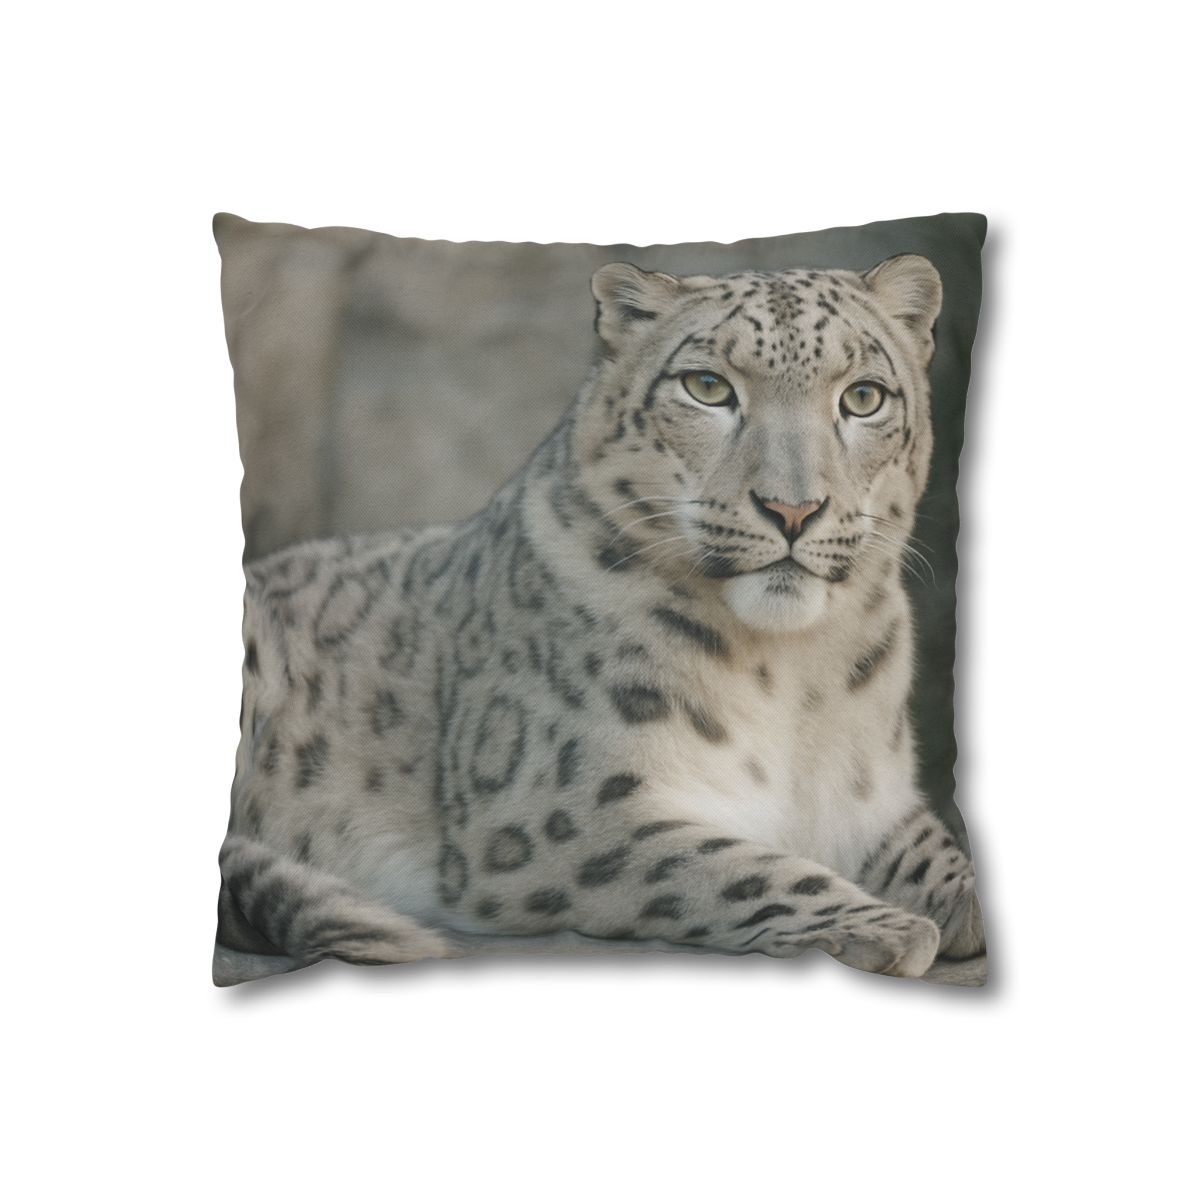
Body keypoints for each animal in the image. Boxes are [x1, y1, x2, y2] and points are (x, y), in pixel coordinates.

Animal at [216, 253, 986, 986]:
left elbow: (935, 847)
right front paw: (889, 928)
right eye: (708, 386)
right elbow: (727, 867)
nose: (792, 510)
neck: (792, 670)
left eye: (863, 397)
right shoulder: (563, 808)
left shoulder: (870, 798)